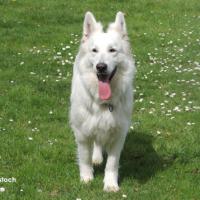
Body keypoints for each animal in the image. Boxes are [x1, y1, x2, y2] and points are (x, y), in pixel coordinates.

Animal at [69, 11, 135, 192]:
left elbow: (112, 163)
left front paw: (110, 184)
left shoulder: (119, 134)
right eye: (94, 50)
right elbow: (84, 157)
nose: (101, 67)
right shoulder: (82, 133)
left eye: (112, 50)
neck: (104, 102)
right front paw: (86, 179)